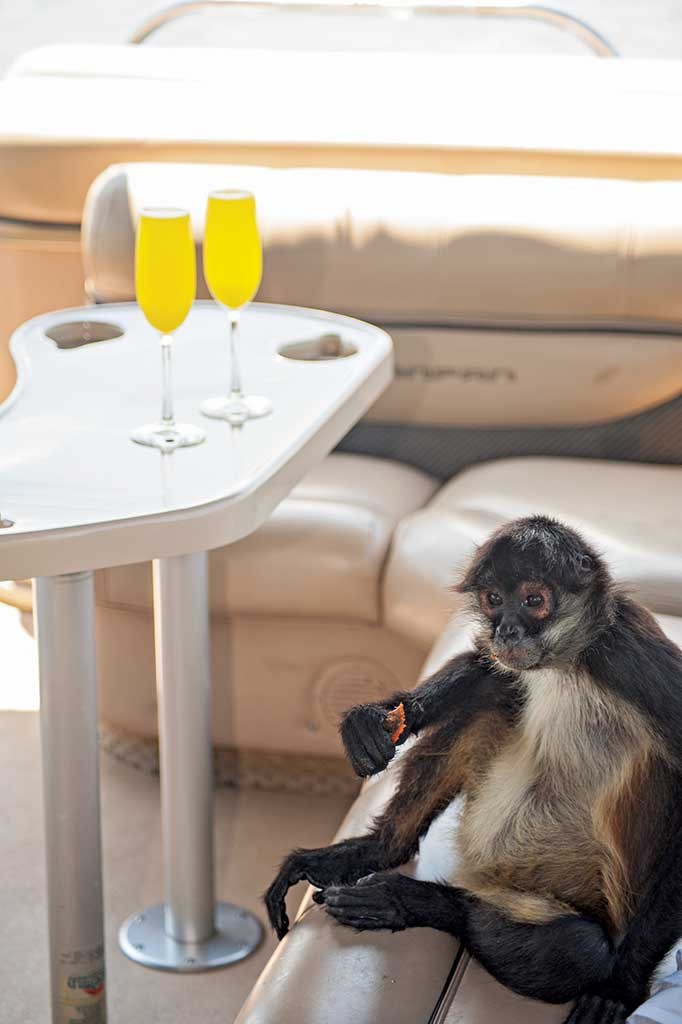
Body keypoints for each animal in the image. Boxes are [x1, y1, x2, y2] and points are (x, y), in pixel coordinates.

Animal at [264, 516, 679, 1024]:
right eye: (494, 600)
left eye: (534, 600)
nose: (508, 630)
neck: (566, 661)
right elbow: (485, 665)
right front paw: (375, 721)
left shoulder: (630, 654)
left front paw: (620, 989)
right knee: (494, 696)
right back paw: (375, 851)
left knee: (579, 948)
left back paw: (412, 901)